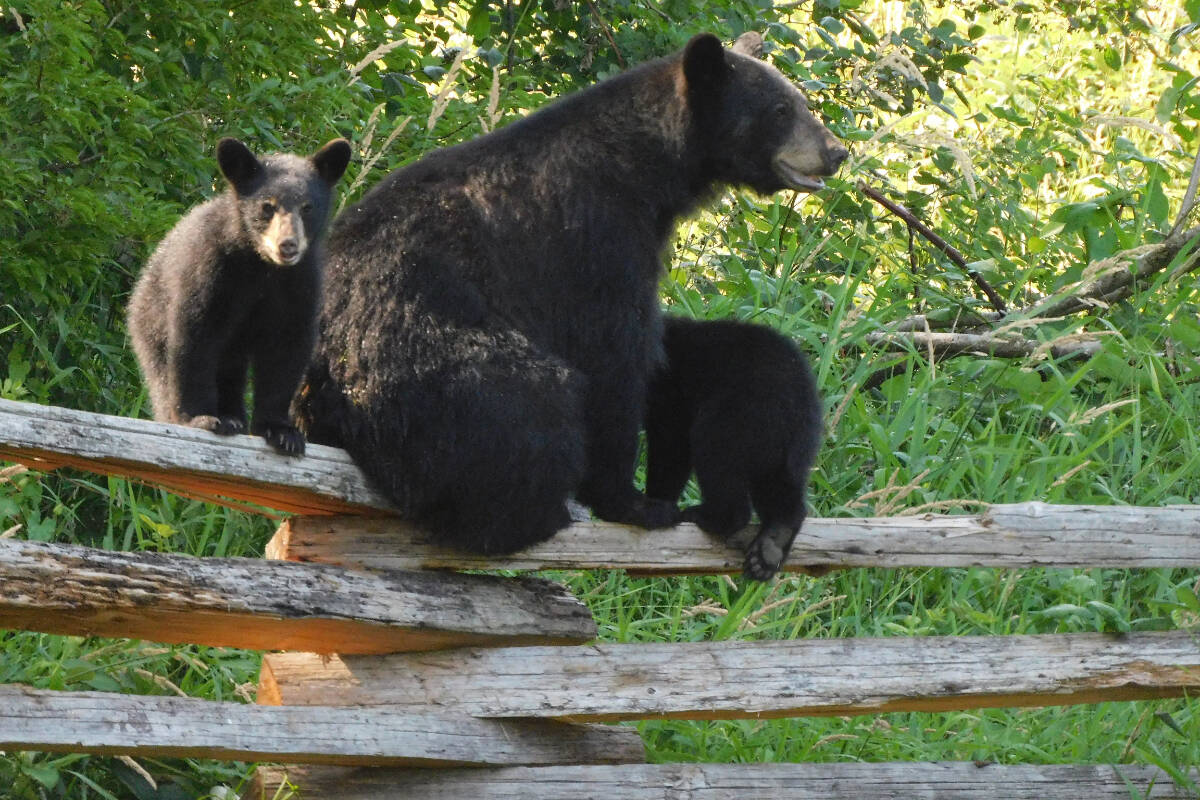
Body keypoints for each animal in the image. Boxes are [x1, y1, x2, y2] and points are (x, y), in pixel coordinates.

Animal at [128, 134, 350, 453]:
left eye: (307, 207)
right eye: (267, 206)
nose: (288, 245)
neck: (261, 266)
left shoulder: (299, 284)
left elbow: (286, 350)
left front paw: (282, 431)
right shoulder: (211, 268)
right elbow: (195, 338)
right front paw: (201, 417)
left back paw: (234, 416)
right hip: (149, 318)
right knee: (162, 370)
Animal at [648, 316, 825, 578]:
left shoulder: (668, 394)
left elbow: (670, 444)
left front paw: (655, 502)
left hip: (736, 413)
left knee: (714, 454)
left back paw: (709, 516)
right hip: (795, 441)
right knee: (782, 483)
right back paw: (772, 544)